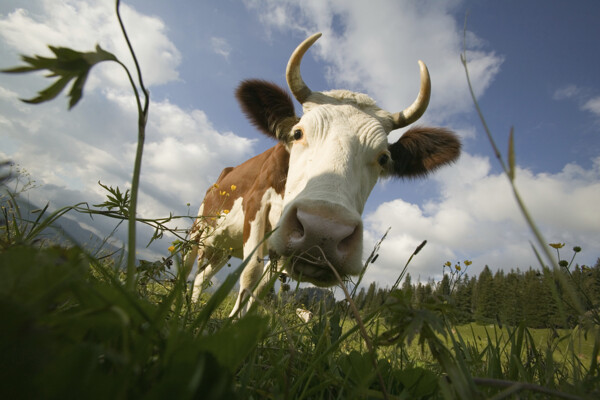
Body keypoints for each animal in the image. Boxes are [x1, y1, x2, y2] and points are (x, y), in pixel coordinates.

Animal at [183, 32, 460, 318]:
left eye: (384, 158)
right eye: (297, 133)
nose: (323, 232)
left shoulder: (281, 242)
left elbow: (262, 286)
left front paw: (239, 323)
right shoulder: (256, 205)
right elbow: (251, 273)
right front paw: (229, 324)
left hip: (222, 248)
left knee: (203, 276)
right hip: (198, 229)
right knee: (187, 265)